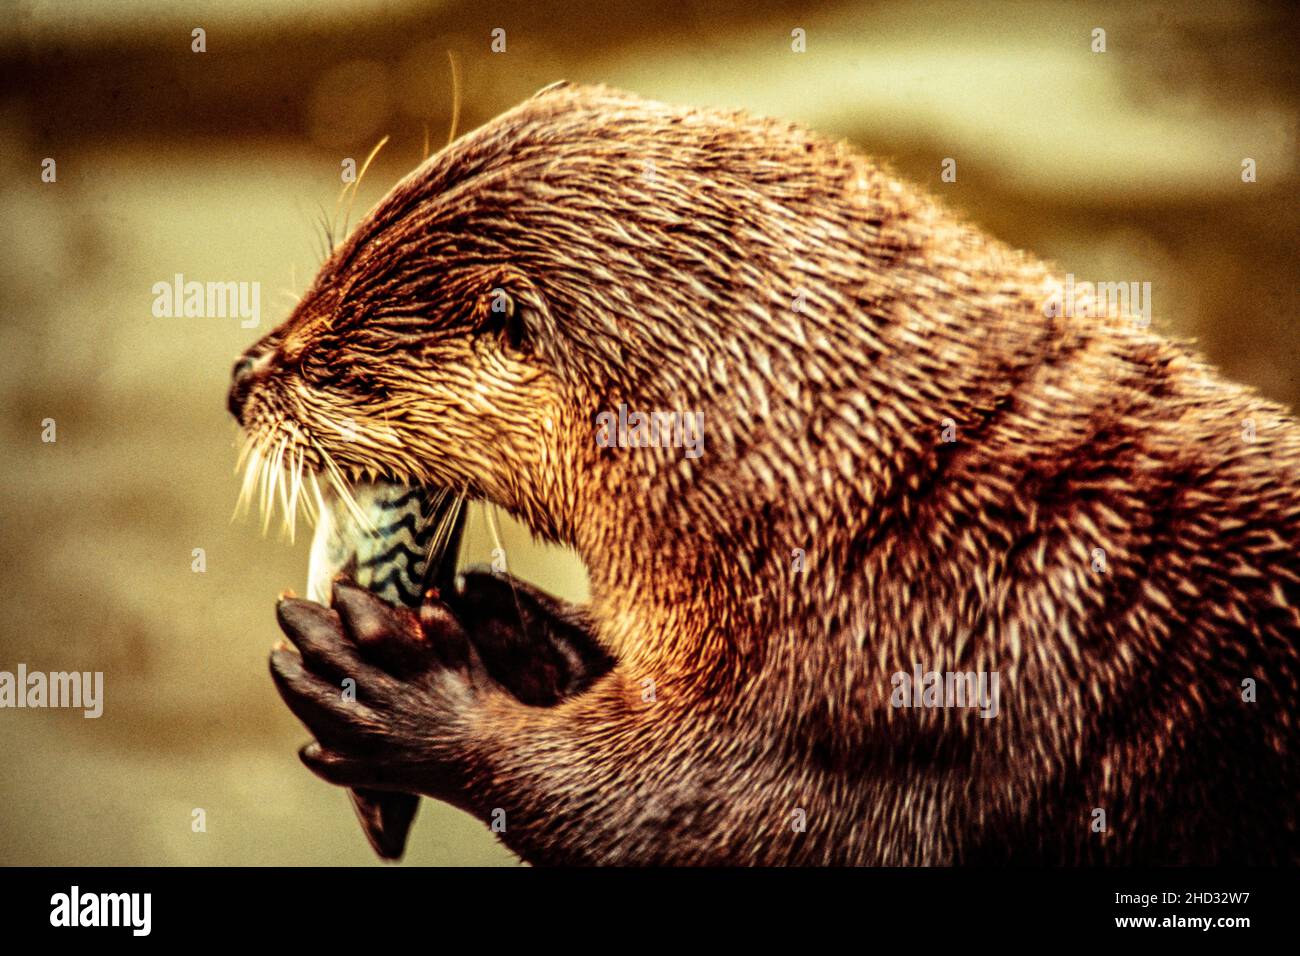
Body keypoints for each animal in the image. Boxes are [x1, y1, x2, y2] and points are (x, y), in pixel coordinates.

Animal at [230, 82, 1300, 865]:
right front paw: (509, 625)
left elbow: (659, 816)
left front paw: (401, 686)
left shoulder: (878, 715)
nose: (243, 378)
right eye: (322, 277)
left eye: (336, 364)